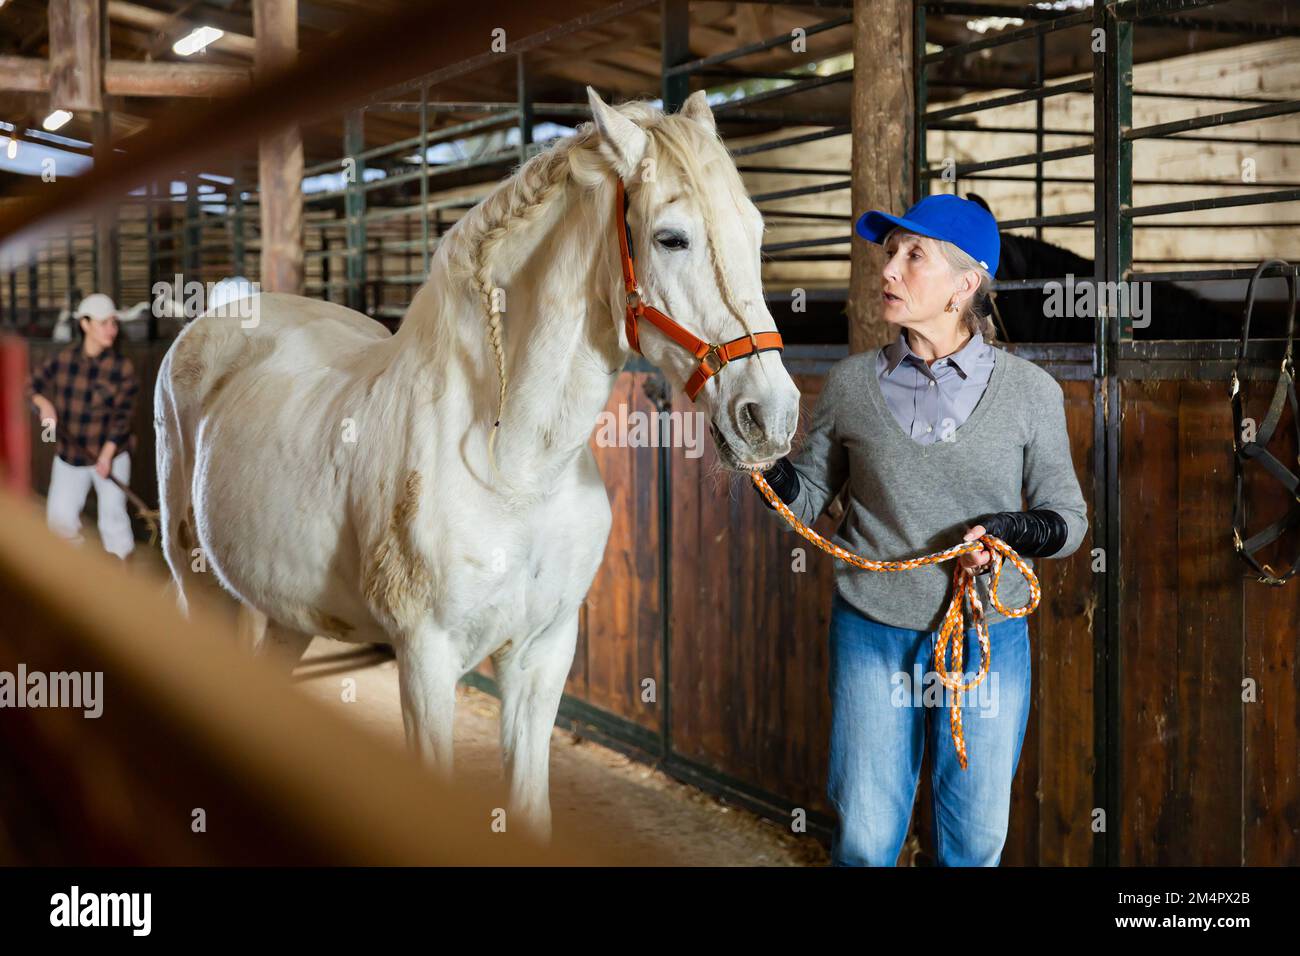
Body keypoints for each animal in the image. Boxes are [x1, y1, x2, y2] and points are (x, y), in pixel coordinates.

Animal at [153, 86, 801, 843]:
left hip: (288, 610)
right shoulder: (425, 660)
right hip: (197, 585)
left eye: (756, 230)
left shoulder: (541, 652)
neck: (514, 469)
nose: (771, 416)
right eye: (672, 237)